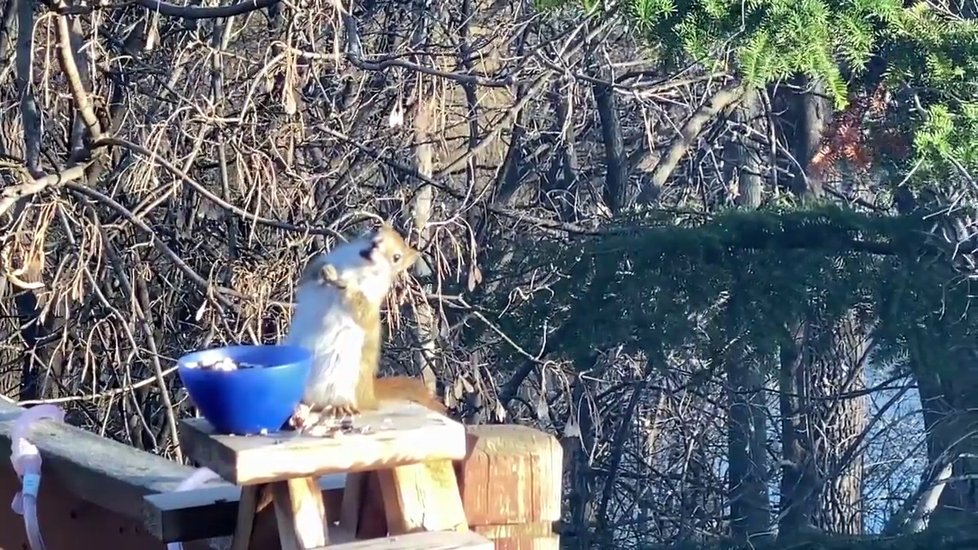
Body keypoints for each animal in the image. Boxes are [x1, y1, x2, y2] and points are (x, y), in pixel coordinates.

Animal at [282, 224, 446, 426]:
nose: (375, 245)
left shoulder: (371, 300)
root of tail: (368, 396)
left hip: (340, 380)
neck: (357, 267)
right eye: (376, 229)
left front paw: (346, 285)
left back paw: (339, 407)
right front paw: (324, 272)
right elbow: (309, 275)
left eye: (396, 257)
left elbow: (361, 309)